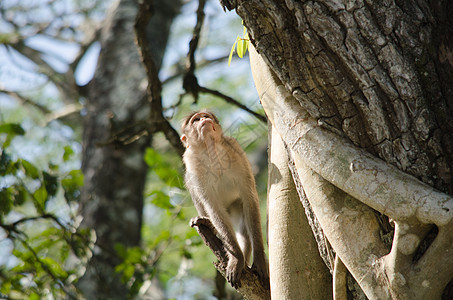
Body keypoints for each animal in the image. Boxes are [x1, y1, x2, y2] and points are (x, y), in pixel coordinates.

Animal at [180, 110, 268, 288]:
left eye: (206, 116)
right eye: (196, 120)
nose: (205, 119)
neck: (210, 151)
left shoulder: (236, 150)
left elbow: (249, 197)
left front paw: (259, 260)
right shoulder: (192, 165)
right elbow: (213, 207)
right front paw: (236, 259)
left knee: (244, 226)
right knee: (191, 185)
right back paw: (207, 223)